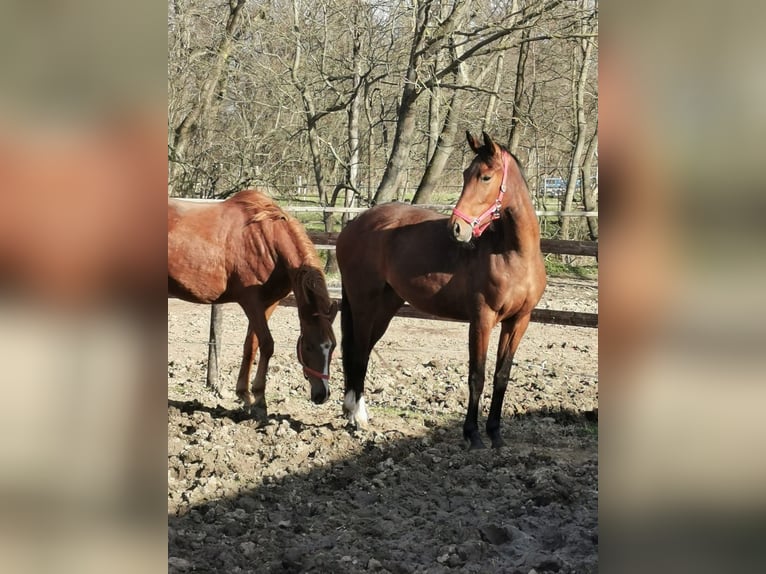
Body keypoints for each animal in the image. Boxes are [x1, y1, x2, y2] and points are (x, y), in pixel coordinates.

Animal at [171, 191, 340, 416]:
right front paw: (260, 399)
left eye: (333, 346)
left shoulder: (269, 304)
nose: (322, 395)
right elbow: (267, 344)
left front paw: (244, 394)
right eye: (308, 346)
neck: (268, 240)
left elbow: (251, 345)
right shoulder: (251, 303)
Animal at [340, 132, 548, 450]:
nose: (457, 229)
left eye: (485, 177)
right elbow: (477, 375)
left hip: (386, 305)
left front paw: (496, 435)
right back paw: (358, 416)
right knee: (359, 351)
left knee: (364, 349)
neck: (513, 254)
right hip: (364, 303)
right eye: (465, 175)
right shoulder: (482, 319)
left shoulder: (518, 321)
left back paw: (354, 412)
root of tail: (354, 224)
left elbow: (502, 376)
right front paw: (473, 435)